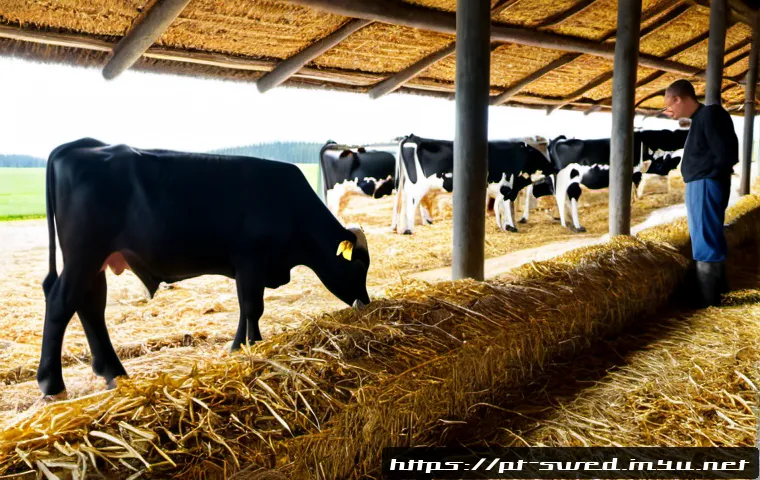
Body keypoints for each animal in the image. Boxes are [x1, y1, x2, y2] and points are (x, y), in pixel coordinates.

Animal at [38, 138, 372, 397]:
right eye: (358, 267)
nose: (366, 304)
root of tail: (82, 144)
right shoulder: (251, 260)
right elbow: (253, 307)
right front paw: (249, 346)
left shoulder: (248, 269)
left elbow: (246, 309)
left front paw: (243, 346)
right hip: (85, 254)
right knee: (61, 303)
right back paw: (52, 383)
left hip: (95, 260)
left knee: (90, 305)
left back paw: (112, 372)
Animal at [394, 134, 555, 234]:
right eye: (539, 154)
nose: (553, 166)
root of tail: (412, 137)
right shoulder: (507, 188)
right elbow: (505, 207)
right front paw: (510, 226)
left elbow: (501, 208)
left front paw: (505, 225)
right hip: (416, 187)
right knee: (411, 204)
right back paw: (409, 229)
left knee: (406, 203)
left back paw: (405, 229)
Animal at [549, 129, 689, 232]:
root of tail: (558, 140)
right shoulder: (635, 172)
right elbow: (632, 192)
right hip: (566, 177)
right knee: (564, 197)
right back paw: (573, 226)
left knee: (567, 198)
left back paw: (571, 224)